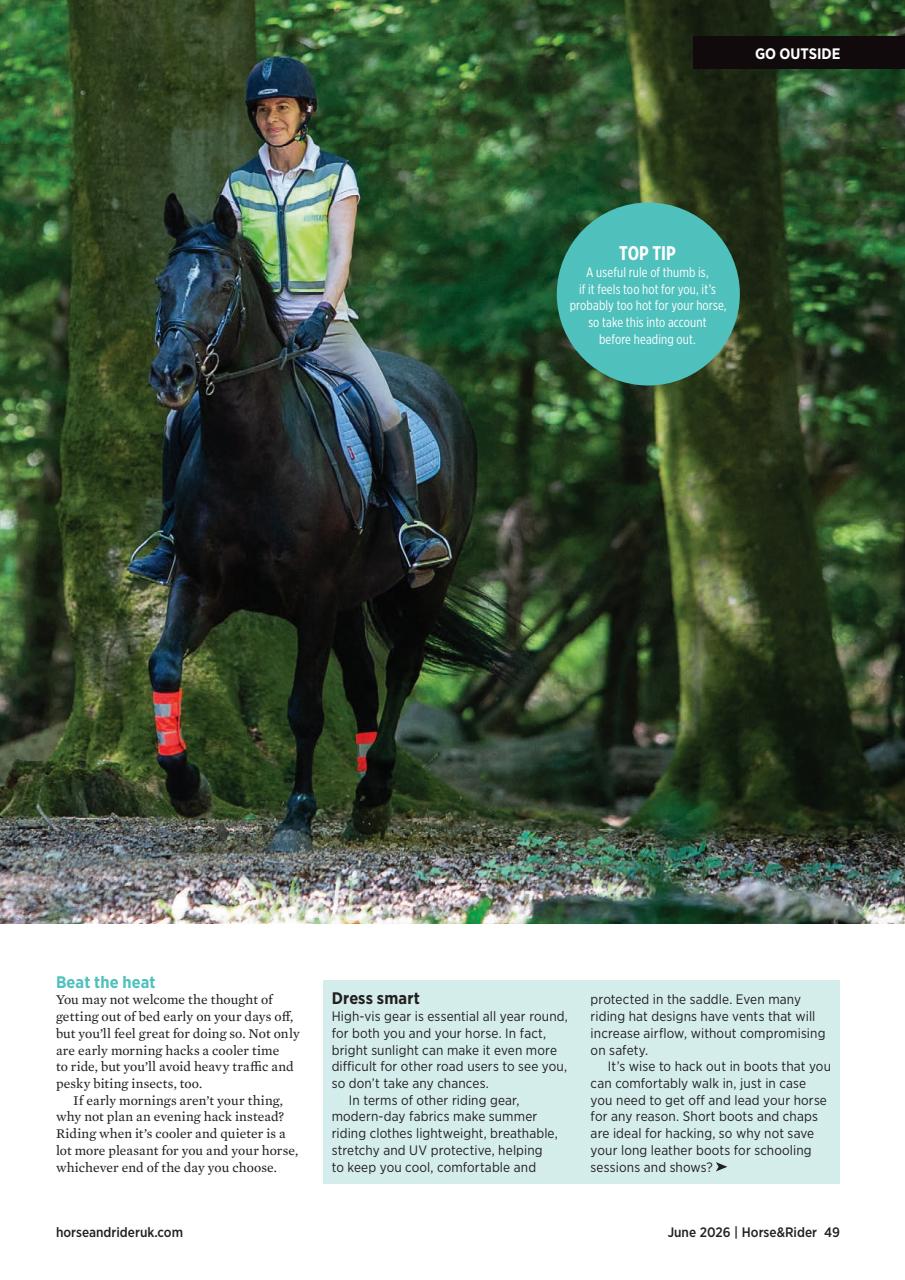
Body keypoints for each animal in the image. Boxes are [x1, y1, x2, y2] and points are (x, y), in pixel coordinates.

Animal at [146, 193, 503, 854]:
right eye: (163, 283)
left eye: (226, 284)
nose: (171, 375)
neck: (252, 454)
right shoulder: (200, 584)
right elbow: (164, 664)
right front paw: (187, 786)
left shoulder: (313, 598)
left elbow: (304, 709)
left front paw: (296, 817)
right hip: (349, 601)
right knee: (363, 682)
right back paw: (365, 801)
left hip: (426, 582)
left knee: (401, 671)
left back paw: (375, 790)